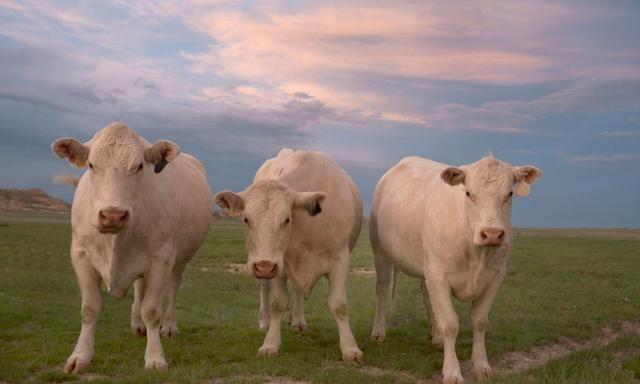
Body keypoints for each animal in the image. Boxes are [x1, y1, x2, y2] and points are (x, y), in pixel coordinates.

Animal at [52, 122, 212, 372]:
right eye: (91, 165)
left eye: (139, 166)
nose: (112, 215)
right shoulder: (80, 255)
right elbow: (90, 308)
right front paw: (80, 356)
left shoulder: (161, 259)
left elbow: (152, 310)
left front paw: (155, 357)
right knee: (139, 286)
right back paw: (138, 324)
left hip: (180, 259)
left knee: (172, 288)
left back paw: (169, 327)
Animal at [215, 148, 364, 362]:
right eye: (246, 219)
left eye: (286, 219)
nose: (264, 266)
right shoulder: (278, 264)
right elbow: (278, 303)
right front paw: (270, 344)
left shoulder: (340, 259)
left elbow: (339, 305)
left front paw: (350, 347)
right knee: (264, 288)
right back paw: (265, 321)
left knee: (297, 290)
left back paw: (298, 320)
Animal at [370, 154, 540, 382]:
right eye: (468, 193)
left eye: (510, 194)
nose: (492, 234)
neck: (476, 255)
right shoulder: (438, 275)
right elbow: (450, 323)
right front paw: (452, 372)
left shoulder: (496, 276)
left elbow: (479, 320)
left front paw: (482, 365)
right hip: (381, 252)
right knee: (382, 289)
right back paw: (378, 332)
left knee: (427, 297)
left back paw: (436, 337)